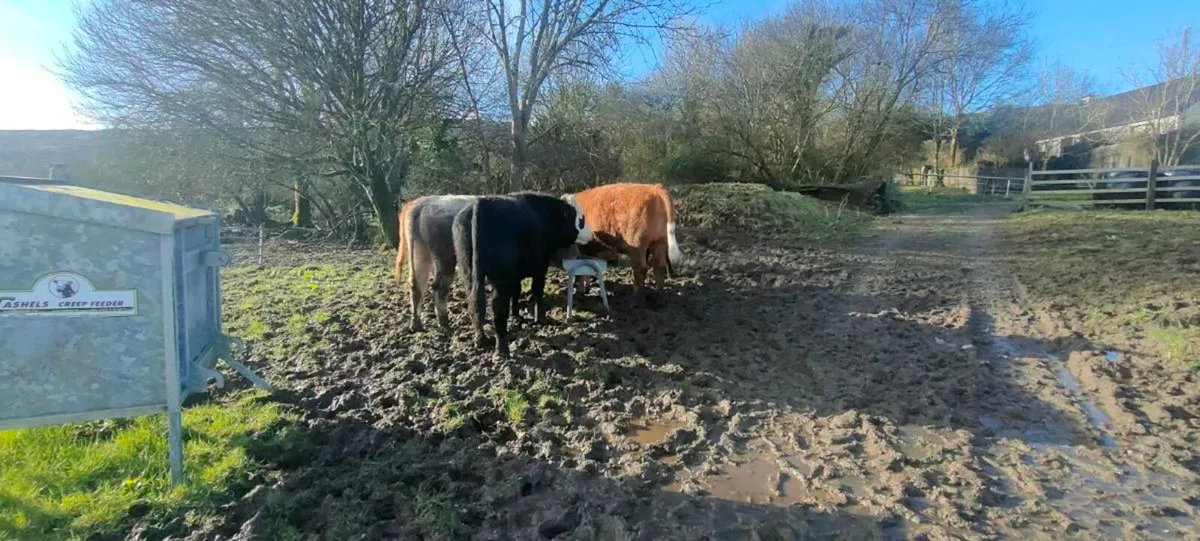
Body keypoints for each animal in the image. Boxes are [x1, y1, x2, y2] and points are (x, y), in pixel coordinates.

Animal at [452, 192, 593, 359]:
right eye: (581, 219)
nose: (592, 234)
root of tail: (481, 203)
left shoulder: (515, 275)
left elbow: (516, 293)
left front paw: (516, 316)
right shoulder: (540, 268)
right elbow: (537, 292)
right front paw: (541, 319)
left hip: (468, 272)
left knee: (474, 303)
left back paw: (481, 340)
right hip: (501, 279)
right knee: (498, 308)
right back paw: (502, 350)